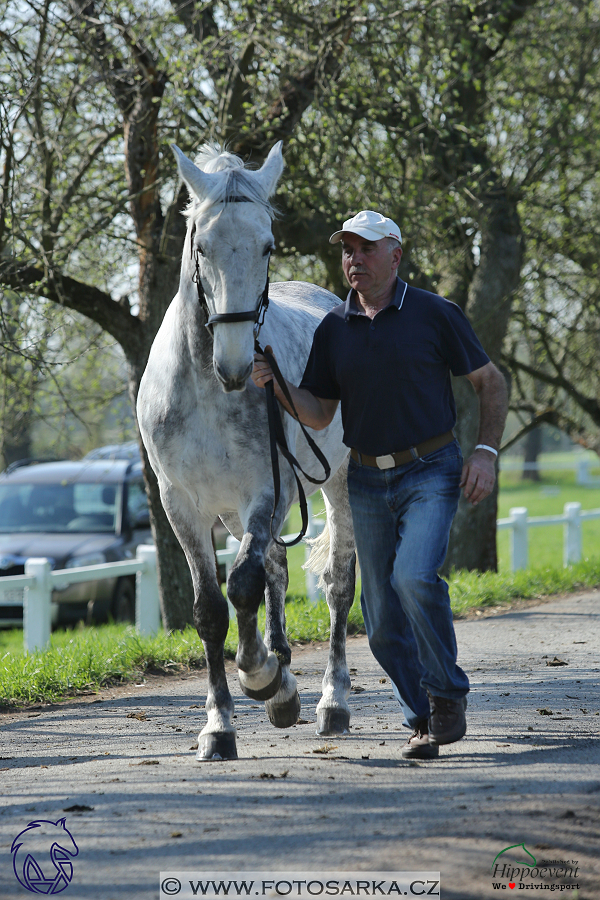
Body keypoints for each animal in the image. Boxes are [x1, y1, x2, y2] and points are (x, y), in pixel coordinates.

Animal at [138, 141, 356, 760]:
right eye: (201, 246)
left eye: (268, 246)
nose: (237, 365)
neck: (208, 391)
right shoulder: (182, 505)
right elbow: (214, 608)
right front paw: (220, 725)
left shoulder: (264, 493)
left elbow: (241, 586)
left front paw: (260, 677)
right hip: (244, 512)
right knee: (274, 572)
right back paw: (283, 674)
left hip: (335, 484)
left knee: (335, 584)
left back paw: (331, 701)